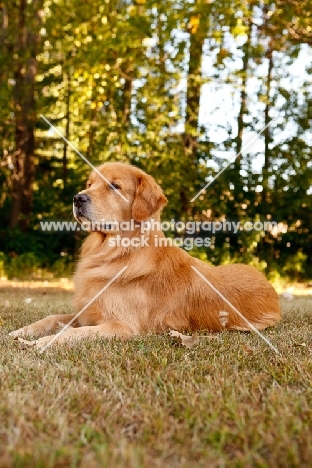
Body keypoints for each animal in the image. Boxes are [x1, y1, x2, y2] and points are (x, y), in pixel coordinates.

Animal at [9, 161, 280, 348]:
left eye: (114, 186)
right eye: (89, 184)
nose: (77, 198)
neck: (120, 251)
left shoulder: (122, 326)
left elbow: (70, 333)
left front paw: (42, 343)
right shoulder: (87, 313)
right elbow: (51, 318)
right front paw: (22, 332)